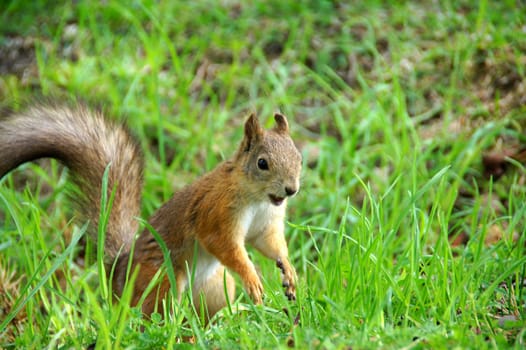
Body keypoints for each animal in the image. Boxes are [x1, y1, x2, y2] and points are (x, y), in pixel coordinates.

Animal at [0, 100, 304, 318]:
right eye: (262, 163)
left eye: (299, 157)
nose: (291, 189)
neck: (258, 199)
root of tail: (119, 273)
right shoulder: (216, 213)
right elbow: (225, 245)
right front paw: (251, 277)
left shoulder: (266, 224)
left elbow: (270, 244)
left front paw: (289, 272)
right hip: (162, 282)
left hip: (217, 288)